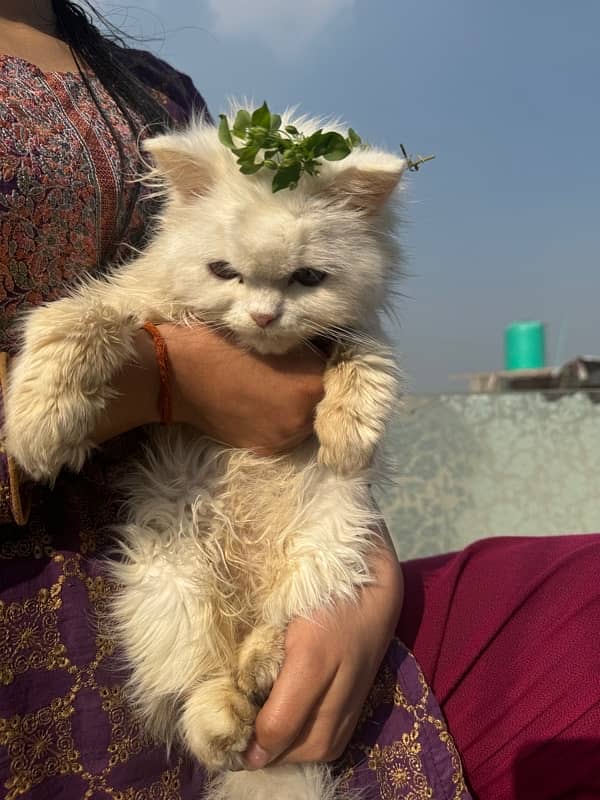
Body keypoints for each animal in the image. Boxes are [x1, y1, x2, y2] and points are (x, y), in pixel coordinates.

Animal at [4, 111, 406, 800]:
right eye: (224, 271)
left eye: (308, 279)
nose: (265, 316)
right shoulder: (129, 303)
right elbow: (77, 321)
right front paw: (40, 424)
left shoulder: (352, 332)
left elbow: (365, 355)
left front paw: (347, 431)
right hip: (169, 583)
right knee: (198, 688)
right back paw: (228, 716)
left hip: (325, 548)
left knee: (274, 631)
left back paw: (259, 670)